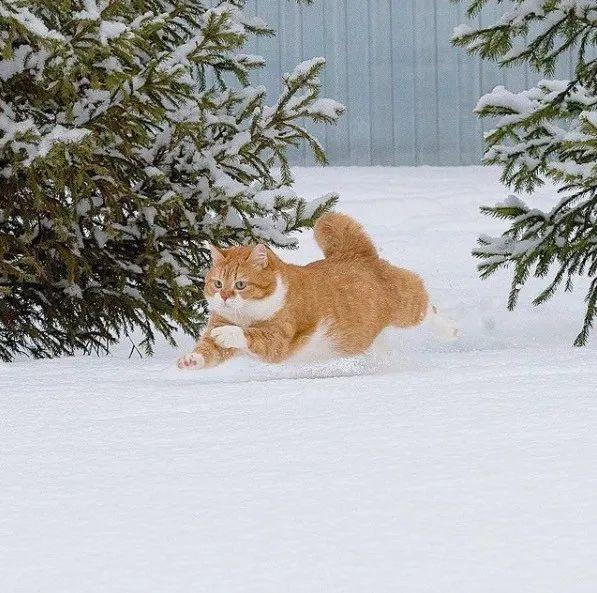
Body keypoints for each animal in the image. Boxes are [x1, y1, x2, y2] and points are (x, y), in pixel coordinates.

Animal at [177, 212, 457, 369]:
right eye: (217, 284)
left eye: (240, 285)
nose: (224, 297)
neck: (245, 314)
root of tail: (356, 254)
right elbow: (208, 351)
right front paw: (190, 360)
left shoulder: (280, 339)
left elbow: (250, 335)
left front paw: (229, 332)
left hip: (406, 305)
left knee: (425, 305)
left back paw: (450, 331)